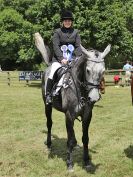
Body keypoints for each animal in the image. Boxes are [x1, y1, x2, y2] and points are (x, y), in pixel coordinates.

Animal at [34, 31, 110, 171]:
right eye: (88, 70)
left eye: (103, 71)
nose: (94, 98)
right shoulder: (69, 115)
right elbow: (68, 140)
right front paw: (69, 163)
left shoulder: (87, 115)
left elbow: (85, 138)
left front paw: (86, 161)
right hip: (47, 107)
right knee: (49, 124)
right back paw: (49, 143)